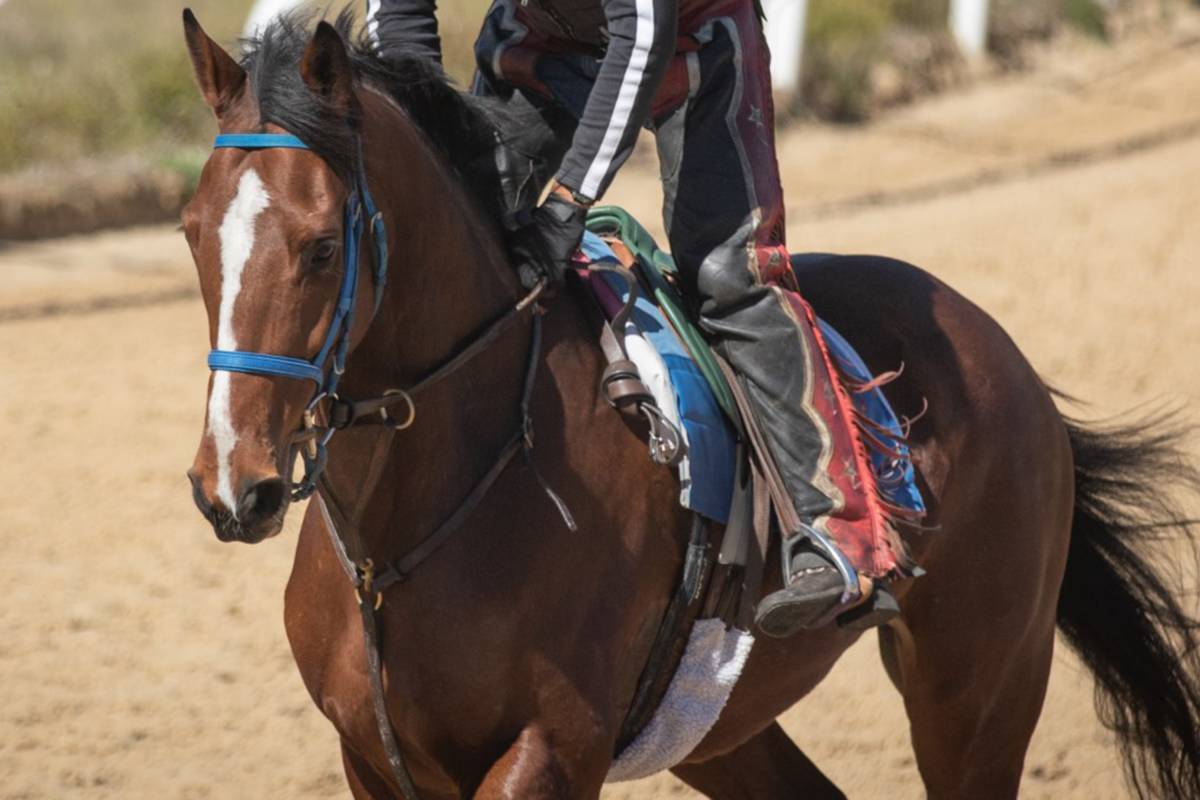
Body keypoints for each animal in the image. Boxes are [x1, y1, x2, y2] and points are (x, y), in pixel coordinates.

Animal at [177, 12, 1200, 800]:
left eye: (319, 247)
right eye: (192, 233)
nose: (232, 485)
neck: (403, 540)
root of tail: (1010, 361)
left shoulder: (551, 750)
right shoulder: (373, 758)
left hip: (979, 686)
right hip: (722, 724)